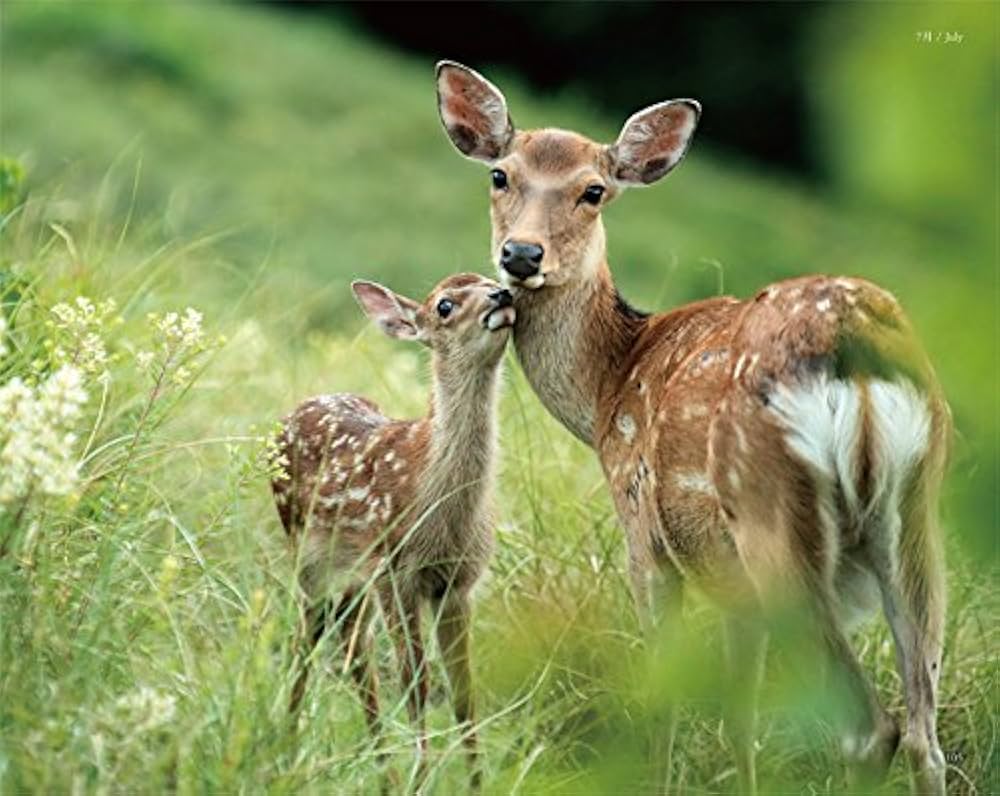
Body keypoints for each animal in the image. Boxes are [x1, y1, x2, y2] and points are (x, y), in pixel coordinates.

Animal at [271, 273, 516, 790]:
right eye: (444, 305)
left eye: (490, 277)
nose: (502, 295)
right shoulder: (395, 570)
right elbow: (416, 682)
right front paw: (420, 778)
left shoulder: (456, 582)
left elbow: (463, 690)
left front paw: (475, 781)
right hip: (306, 553)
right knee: (308, 639)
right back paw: (288, 746)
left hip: (354, 577)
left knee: (352, 646)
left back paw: (379, 767)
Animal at [435, 61, 950, 795]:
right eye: (500, 175)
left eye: (594, 190)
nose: (522, 255)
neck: (609, 385)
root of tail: (851, 350)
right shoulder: (733, 590)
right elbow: (740, 718)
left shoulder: (643, 533)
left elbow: (666, 697)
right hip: (915, 517)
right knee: (923, 736)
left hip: (772, 512)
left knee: (870, 726)